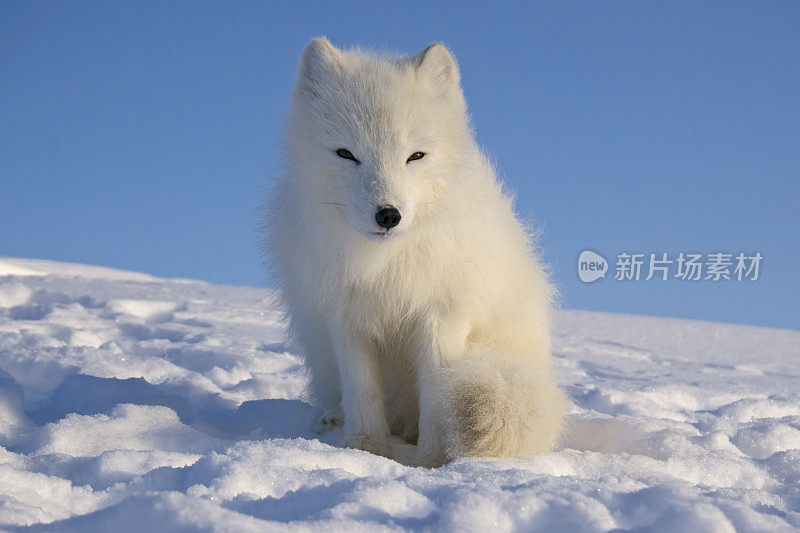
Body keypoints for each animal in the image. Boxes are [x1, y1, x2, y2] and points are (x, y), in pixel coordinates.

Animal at [266, 37, 564, 466]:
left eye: (415, 156)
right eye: (346, 154)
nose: (388, 214)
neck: (383, 266)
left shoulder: (441, 313)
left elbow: (438, 393)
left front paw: (432, 460)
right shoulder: (345, 314)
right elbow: (361, 390)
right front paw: (364, 448)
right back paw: (332, 418)